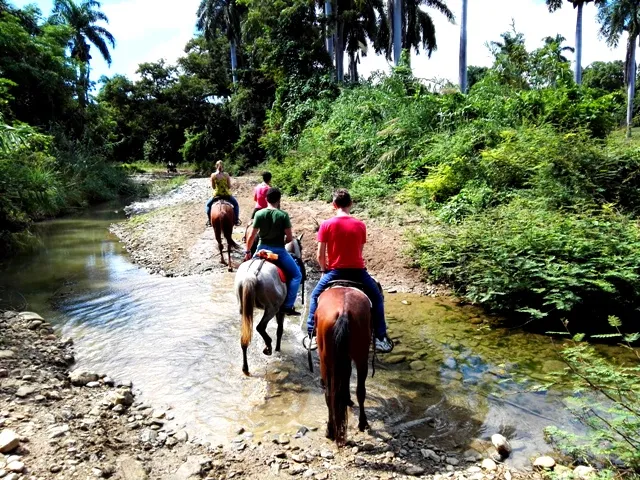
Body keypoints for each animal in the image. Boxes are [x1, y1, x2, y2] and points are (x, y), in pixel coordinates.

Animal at [316, 284, 370, 446]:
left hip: (326, 360)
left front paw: (346, 398)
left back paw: (331, 430)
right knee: (360, 391)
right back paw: (362, 423)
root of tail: (344, 310)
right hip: (361, 356)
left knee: (329, 395)